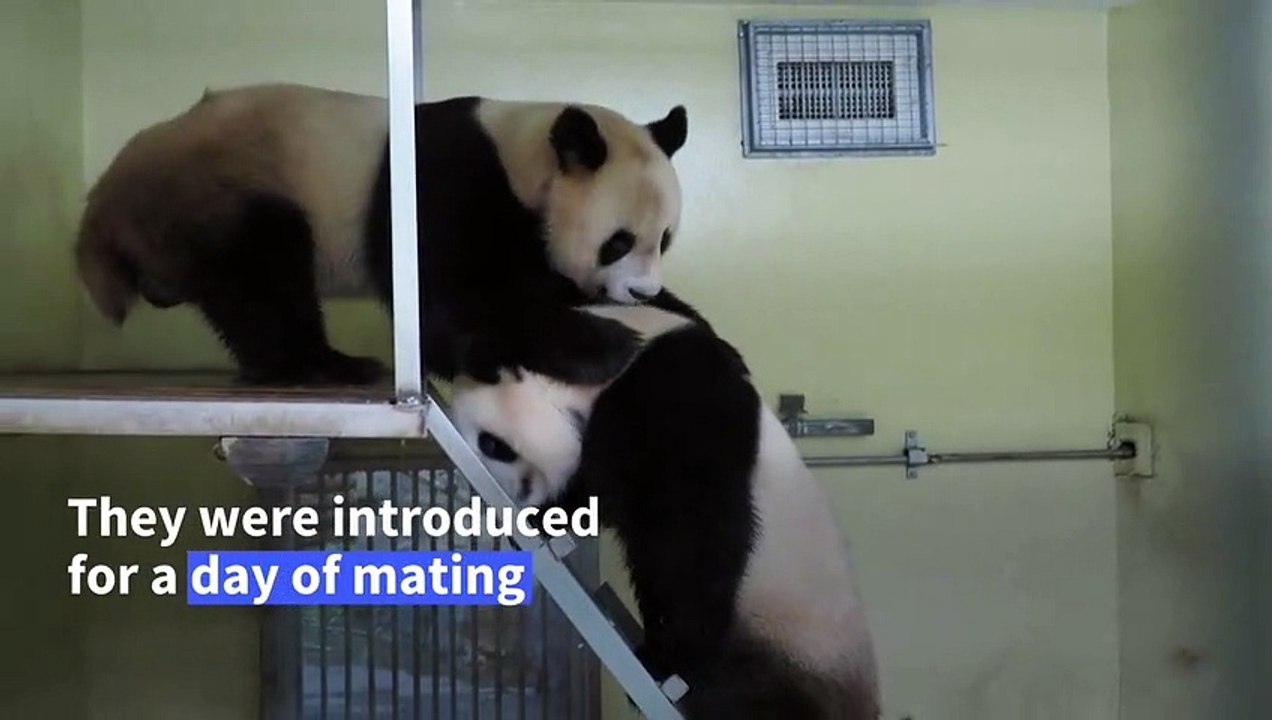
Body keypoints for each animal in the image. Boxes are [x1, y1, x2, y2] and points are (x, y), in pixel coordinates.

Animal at [74, 82, 696, 386]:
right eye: (618, 241)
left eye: (664, 240)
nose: (639, 292)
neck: (523, 153)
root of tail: (104, 200)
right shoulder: (445, 181)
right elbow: (447, 292)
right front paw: (602, 347)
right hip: (222, 192)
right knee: (265, 272)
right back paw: (321, 366)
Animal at [449, 302, 882, 720]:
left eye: (490, 444)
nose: (512, 496)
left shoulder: (680, 398)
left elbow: (690, 536)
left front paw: (670, 660)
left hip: (795, 638)